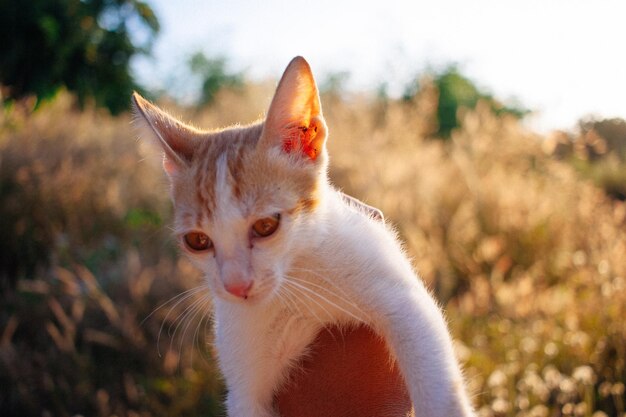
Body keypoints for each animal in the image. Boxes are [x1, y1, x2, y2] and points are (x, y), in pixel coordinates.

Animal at [132, 56, 472, 416]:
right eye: (197, 241)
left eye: (266, 226)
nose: (236, 286)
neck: (297, 280)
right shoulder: (244, 390)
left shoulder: (404, 302)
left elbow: (438, 384)